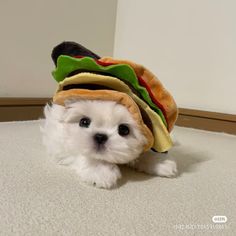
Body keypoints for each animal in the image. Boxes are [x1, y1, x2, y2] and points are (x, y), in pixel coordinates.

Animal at [42, 99, 177, 188]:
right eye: (84, 122)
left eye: (124, 130)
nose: (100, 136)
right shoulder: (59, 141)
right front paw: (100, 169)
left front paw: (159, 162)